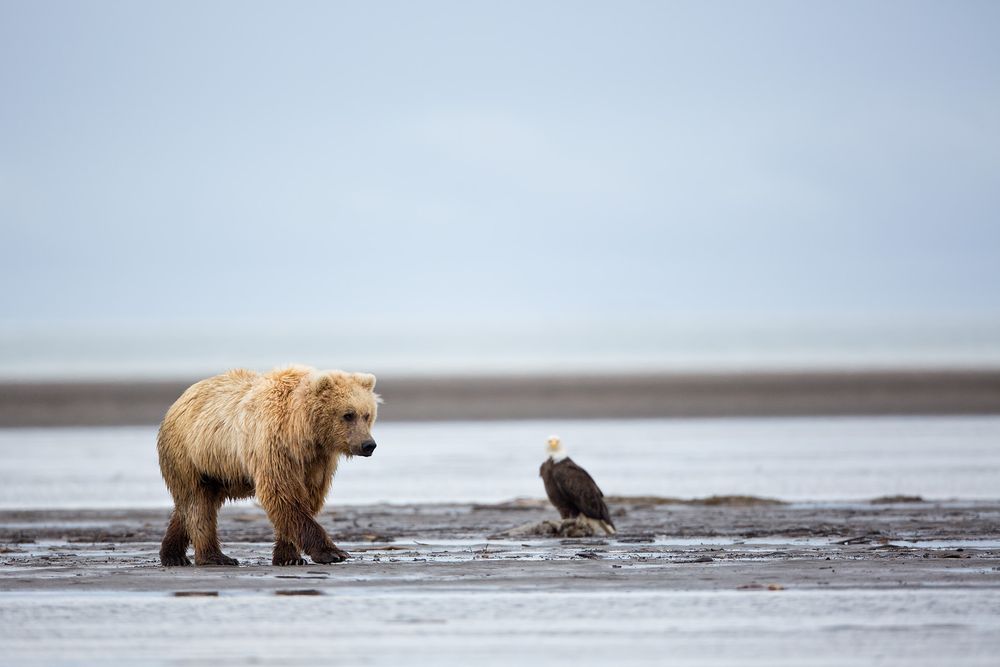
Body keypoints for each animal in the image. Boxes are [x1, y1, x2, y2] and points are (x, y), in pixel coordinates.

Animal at [157, 365, 380, 567]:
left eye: (367, 414)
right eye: (348, 414)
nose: (368, 445)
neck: (304, 432)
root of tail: (180, 399)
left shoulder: (316, 461)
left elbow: (306, 497)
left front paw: (289, 557)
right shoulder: (274, 447)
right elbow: (283, 494)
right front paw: (332, 552)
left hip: (217, 470)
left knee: (188, 507)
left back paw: (173, 554)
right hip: (190, 455)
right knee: (197, 505)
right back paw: (214, 557)